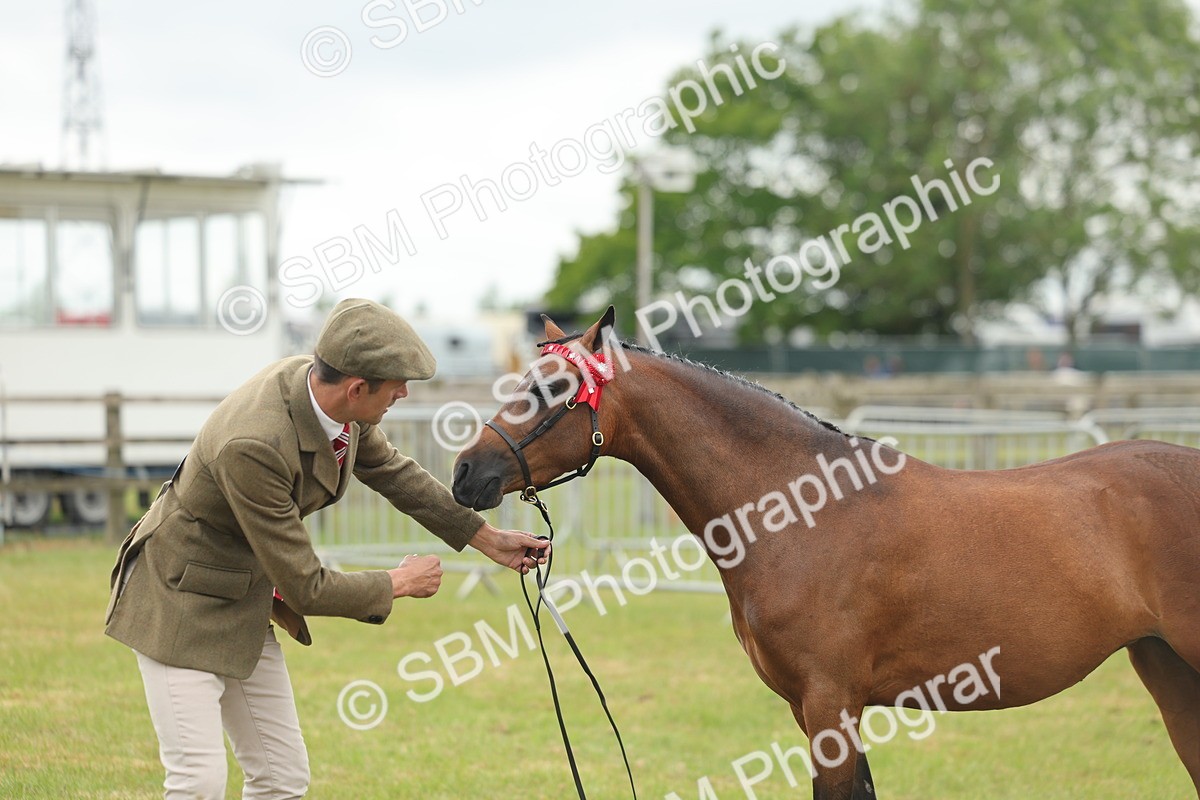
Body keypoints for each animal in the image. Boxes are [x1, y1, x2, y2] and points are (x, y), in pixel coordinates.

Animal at [451, 306, 1200, 800]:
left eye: (551, 390)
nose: (465, 474)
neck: (803, 510)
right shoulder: (810, 708)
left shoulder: (830, 705)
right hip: (1165, 667)